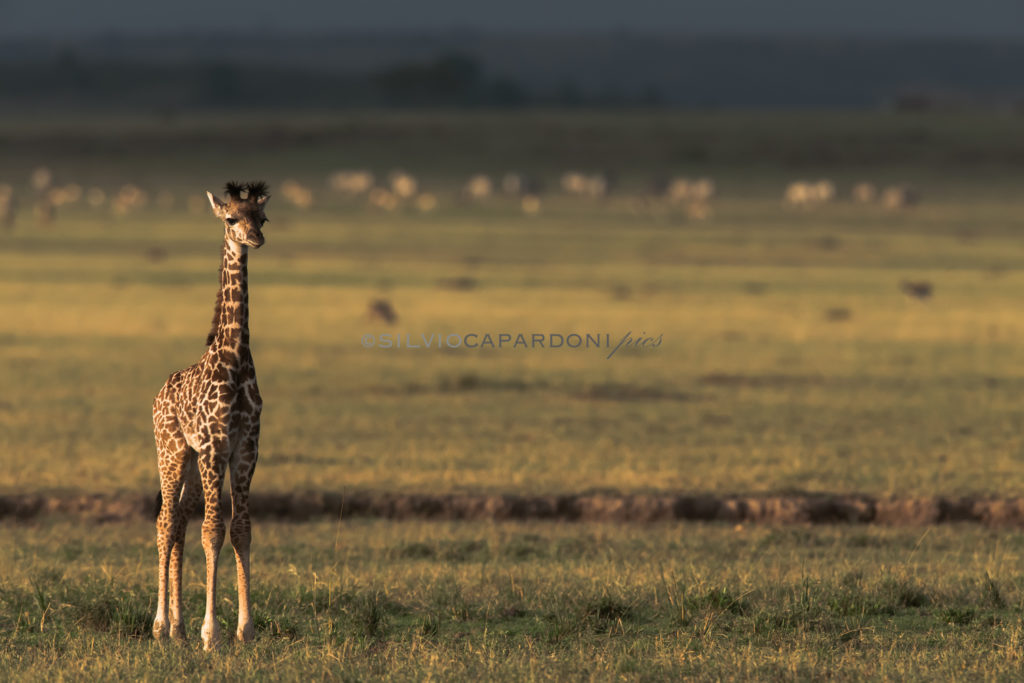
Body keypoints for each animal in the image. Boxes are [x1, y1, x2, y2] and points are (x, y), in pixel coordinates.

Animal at [151, 181, 269, 651]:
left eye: (262, 216)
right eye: (230, 218)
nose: (255, 239)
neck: (235, 360)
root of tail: (159, 394)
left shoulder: (246, 449)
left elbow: (240, 530)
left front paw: (245, 629)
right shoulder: (215, 447)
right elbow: (213, 531)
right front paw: (211, 633)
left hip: (188, 459)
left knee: (180, 521)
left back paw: (178, 628)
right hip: (171, 452)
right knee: (165, 523)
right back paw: (161, 625)